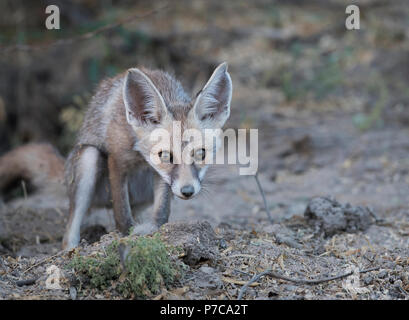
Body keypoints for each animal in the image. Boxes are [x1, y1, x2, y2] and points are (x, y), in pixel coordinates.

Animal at [0, 62, 233, 250]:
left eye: (201, 153)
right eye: (166, 155)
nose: (187, 191)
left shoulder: (160, 176)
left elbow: (161, 212)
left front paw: (155, 232)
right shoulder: (117, 160)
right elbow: (121, 213)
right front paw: (127, 237)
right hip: (88, 159)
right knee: (70, 232)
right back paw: (70, 251)